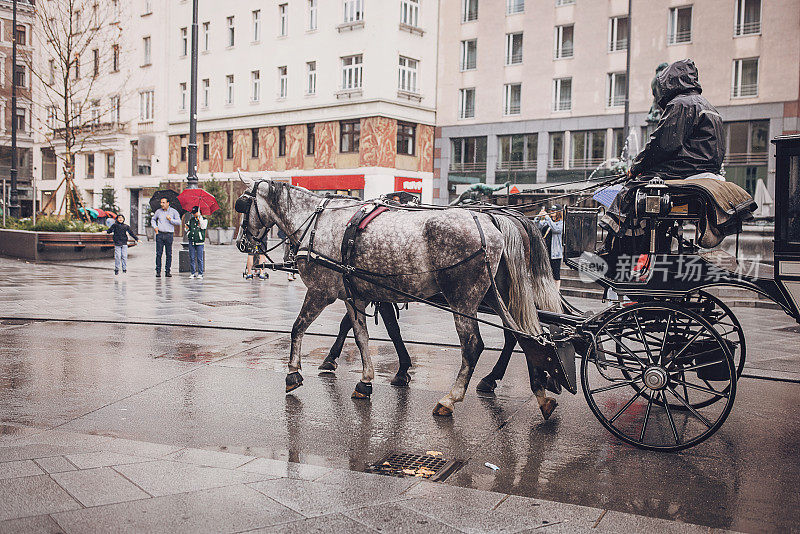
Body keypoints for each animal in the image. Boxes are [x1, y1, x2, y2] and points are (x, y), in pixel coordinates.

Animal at [236, 180, 564, 418]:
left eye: (243, 205)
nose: (241, 243)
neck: (316, 222)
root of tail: (489, 220)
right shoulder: (355, 294)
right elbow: (362, 336)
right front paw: (366, 380)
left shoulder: (322, 291)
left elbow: (298, 327)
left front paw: (294, 373)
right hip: (495, 294)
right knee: (521, 335)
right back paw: (538, 393)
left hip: (464, 299)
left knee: (474, 346)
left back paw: (451, 398)